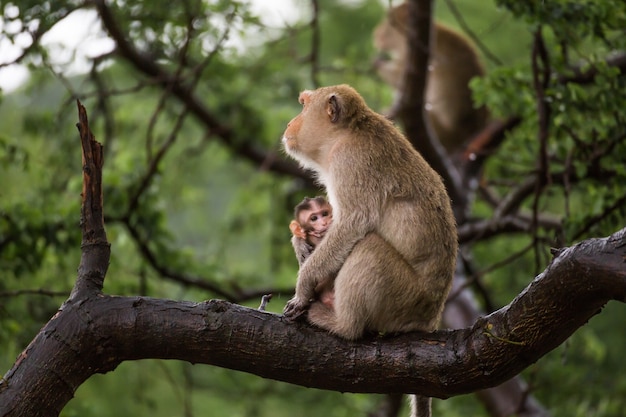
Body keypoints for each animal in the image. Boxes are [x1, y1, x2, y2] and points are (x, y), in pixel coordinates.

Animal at [280, 83, 456, 414]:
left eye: (303, 105)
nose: (288, 124)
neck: (346, 133)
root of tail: (429, 318)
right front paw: (300, 244)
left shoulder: (349, 162)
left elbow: (352, 224)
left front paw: (304, 286)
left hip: (403, 297)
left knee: (369, 246)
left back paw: (342, 325)